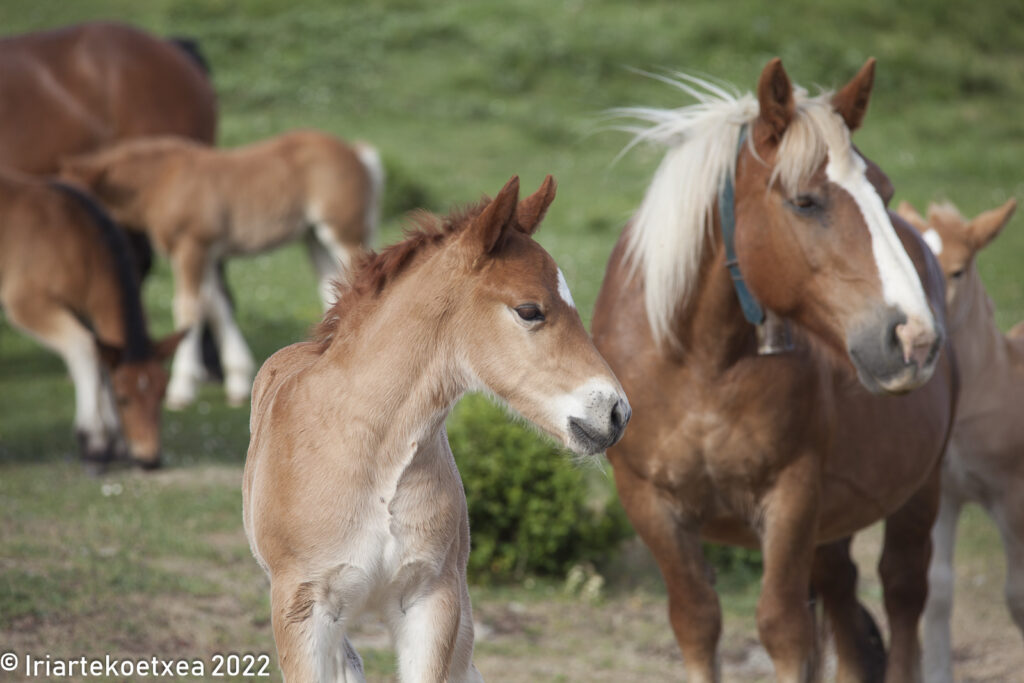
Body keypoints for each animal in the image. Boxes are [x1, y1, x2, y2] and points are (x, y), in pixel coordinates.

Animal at [0, 171, 182, 471]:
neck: (80, 246)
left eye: (162, 393)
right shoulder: (28, 304)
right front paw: (95, 443)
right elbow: (84, 350)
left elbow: (101, 360)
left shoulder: (84, 313)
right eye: (124, 398)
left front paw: (116, 445)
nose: (150, 459)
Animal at [60, 131, 387, 411]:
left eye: (79, 198)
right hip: (313, 239)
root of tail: (357, 152)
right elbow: (215, 306)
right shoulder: (207, 255)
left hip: (343, 233)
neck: (164, 181)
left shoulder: (192, 248)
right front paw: (239, 380)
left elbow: (189, 309)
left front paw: (181, 390)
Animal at [593, 60, 958, 683]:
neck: (699, 366)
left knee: (903, 595)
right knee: (846, 614)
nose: (915, 339)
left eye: (884, 191)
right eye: (805, 201)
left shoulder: (791, 495)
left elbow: (783, 630)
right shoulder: (651, 505)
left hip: (917, 491)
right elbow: (697, 622)